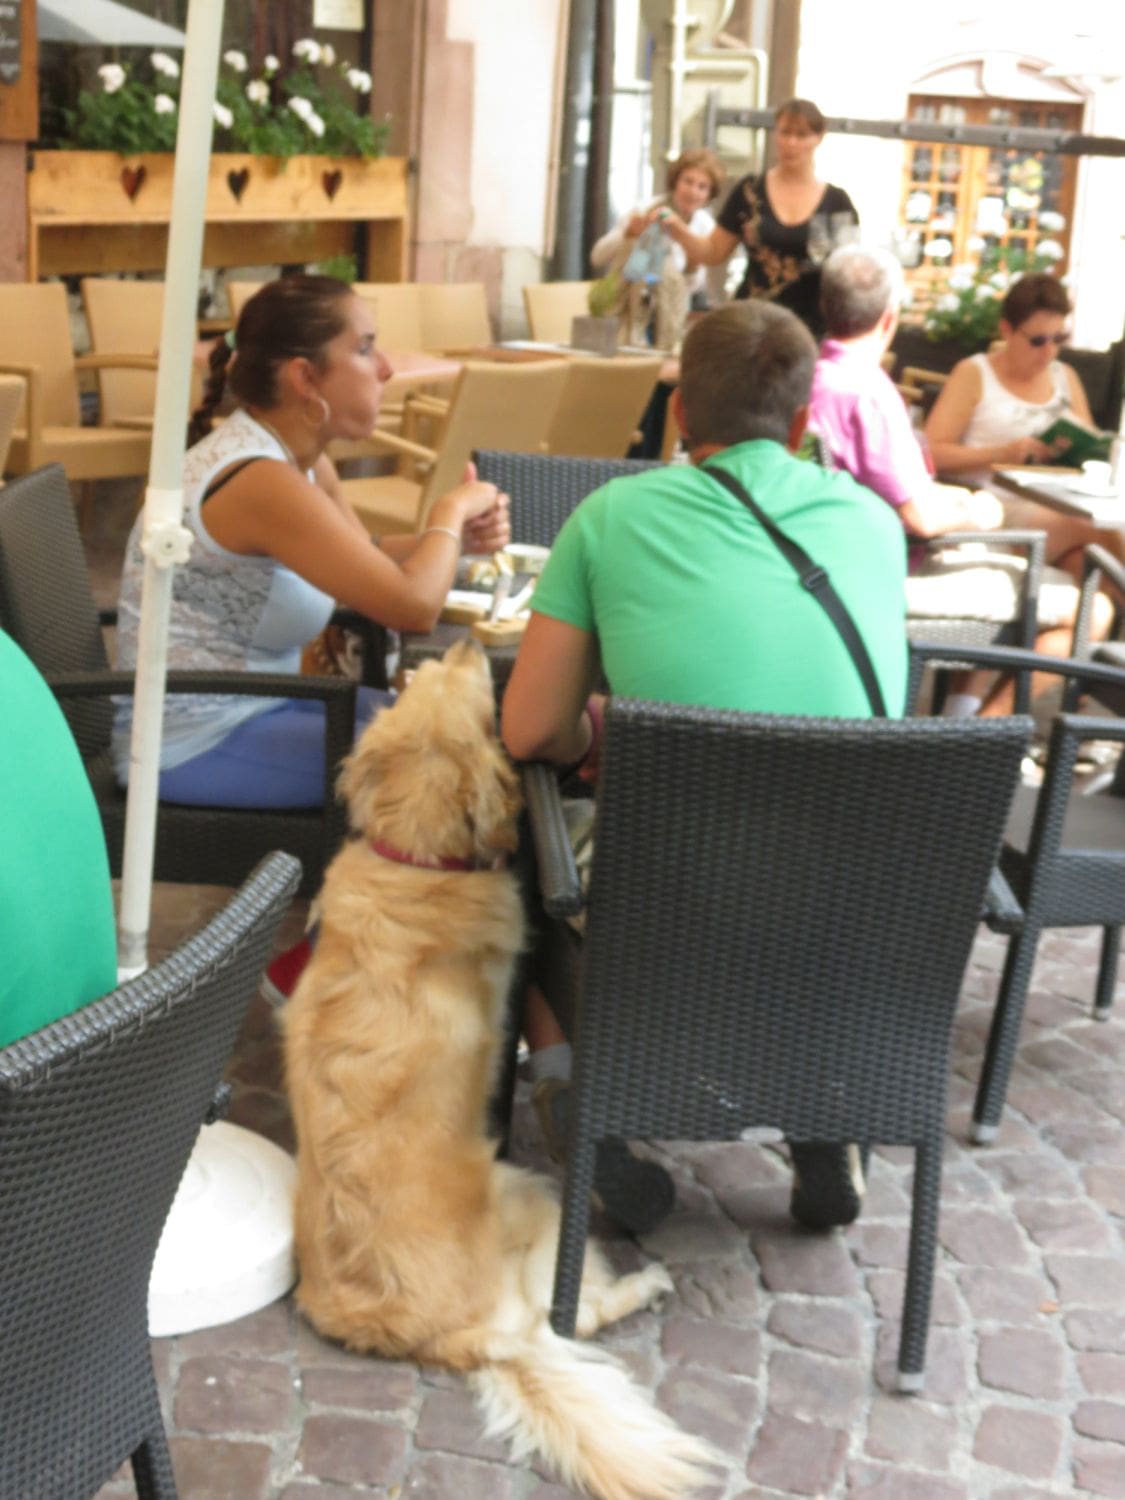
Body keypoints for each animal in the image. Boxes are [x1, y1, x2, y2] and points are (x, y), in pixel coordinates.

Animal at [282, 639, 717, 1500]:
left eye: (425, 681)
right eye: (481, 697)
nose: (464, 642)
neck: (412, 858)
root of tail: (455, 1340)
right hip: (533, 1195)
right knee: (571, 1318)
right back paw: (645, 1284)